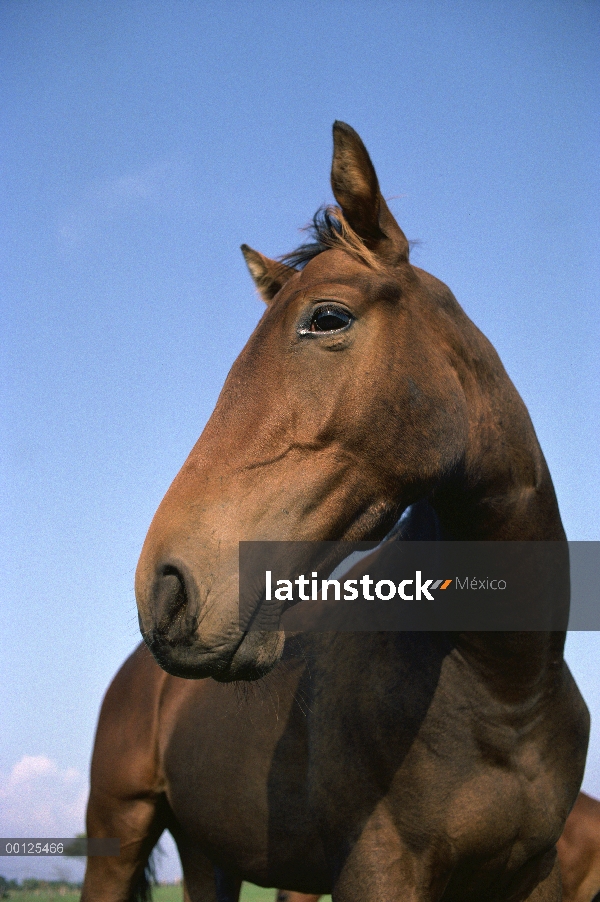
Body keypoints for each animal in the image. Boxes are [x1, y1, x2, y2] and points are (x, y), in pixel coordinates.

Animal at [82, 122, 588, 902]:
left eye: (327, 318)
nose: (166, 587)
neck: (506, 687)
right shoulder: (377, 869)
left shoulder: (536, 875)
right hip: (116, 836)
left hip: (209, 856)